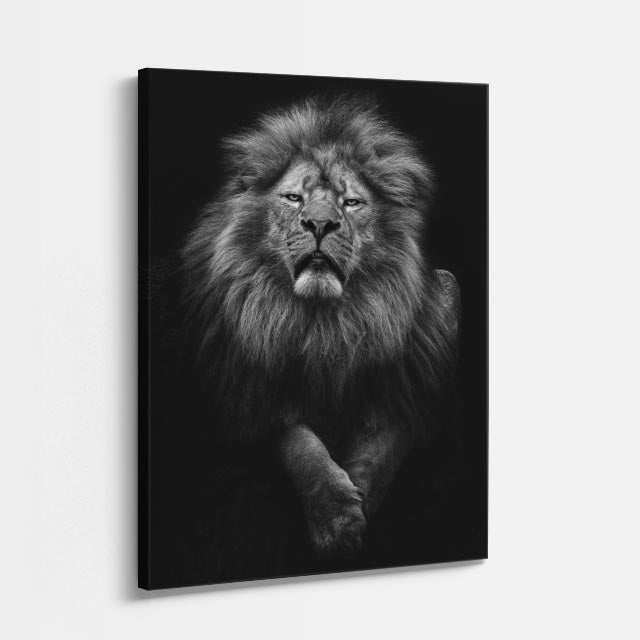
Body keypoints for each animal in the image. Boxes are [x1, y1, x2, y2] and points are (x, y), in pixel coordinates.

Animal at [182, 95, 460, 558]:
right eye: (294, 198)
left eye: (351, 203)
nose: (319, 224)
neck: (324, 322)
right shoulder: (257, 392)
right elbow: (301, 445)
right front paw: (335, 517)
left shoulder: (409, 386)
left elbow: (382, 448)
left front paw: (358, 499)